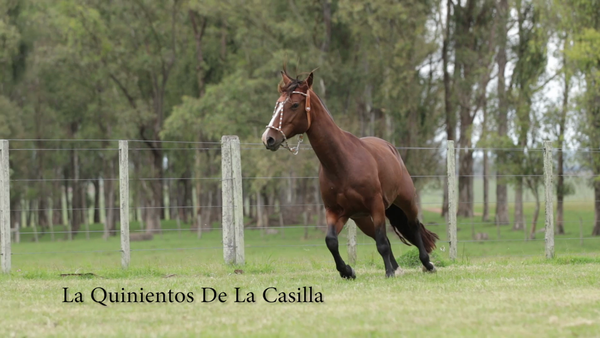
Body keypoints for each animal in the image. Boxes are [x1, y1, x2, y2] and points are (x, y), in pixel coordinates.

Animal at [260, 70, 438, 278]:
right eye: (278, 103)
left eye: (294, 105)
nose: (268, 138)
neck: (342, 164)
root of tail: (391, 148)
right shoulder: (335, 211)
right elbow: (331, 241)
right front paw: (347, 271)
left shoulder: (376, 206)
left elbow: (382, 243)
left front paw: (388, 273)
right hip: (362, 219)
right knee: (383, 236)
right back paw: (396, 267)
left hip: (405, 201)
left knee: (413, 226)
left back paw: (427, 264)